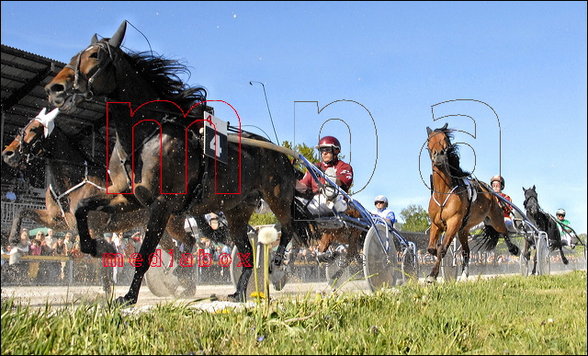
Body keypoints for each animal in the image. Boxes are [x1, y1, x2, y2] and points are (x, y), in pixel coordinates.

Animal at [0, 108, 199, 294]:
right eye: (22, 128)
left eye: (34, 129)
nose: (7, 153)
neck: (74, 183)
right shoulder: (58, 221)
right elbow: (22, 211)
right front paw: (14, 238)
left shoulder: (92, 227)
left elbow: (97, 250)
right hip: (155, 226)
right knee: (175, 250)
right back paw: (182, 280)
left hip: (171, 223)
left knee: (189, 241)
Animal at [424, 124, 516, 282]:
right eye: (429, 140)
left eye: (445, 139)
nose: (439, 156)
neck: (443, 194)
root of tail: (490, 191)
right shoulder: (436, 224)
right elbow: (432, 248)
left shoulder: (453, 222)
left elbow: (442, 248)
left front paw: (432, 276)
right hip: (464, 229)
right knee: (466, 251)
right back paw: (463, 275)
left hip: (496, 218)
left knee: (503, 232)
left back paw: (514, 249)